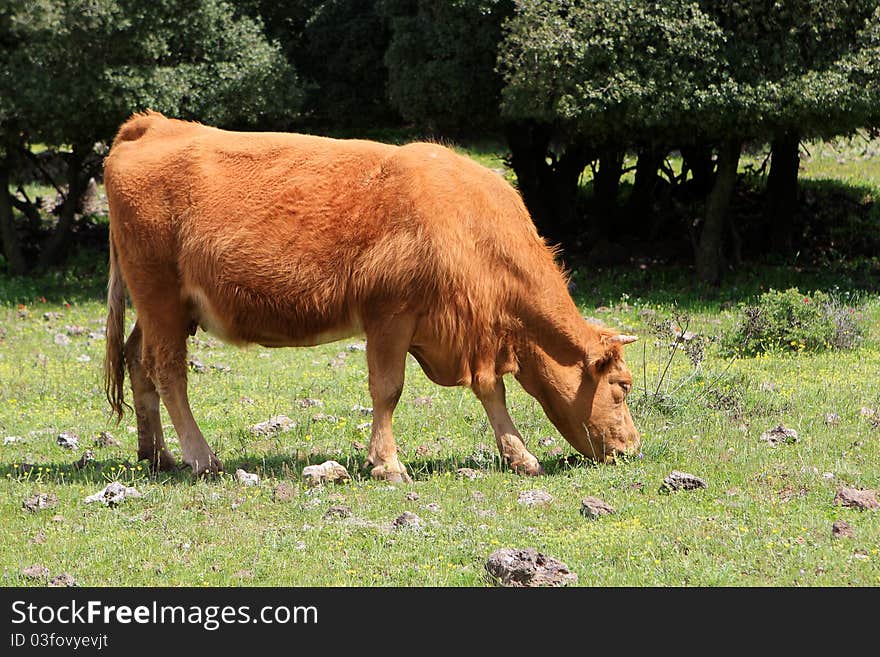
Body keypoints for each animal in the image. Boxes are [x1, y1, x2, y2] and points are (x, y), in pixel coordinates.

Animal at [103, 111, 640, 482]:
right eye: (621, 387)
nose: (632, 448)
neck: (469, 221)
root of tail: (153, 124)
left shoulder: (474, 333)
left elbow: (492, 390)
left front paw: (520, 455)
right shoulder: (391, 315)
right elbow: (388, 389)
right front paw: (387, 465)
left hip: (162, 308)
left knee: (137, 362)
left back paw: (157, 455)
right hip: (159, 297)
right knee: (167, 371)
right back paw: (200, 457)